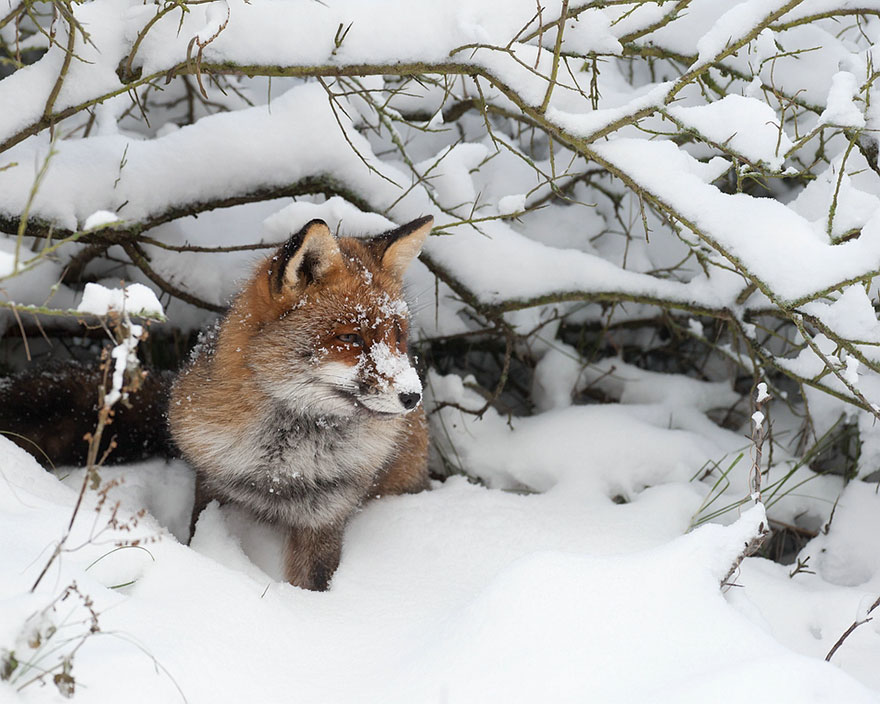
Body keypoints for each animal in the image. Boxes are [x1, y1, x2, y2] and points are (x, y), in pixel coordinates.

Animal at [168, 215, 433, 590]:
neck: (281, 471)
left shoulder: (326, 515)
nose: (412, 396)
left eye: (399, 337)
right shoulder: (212, 487)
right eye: (350, 337)